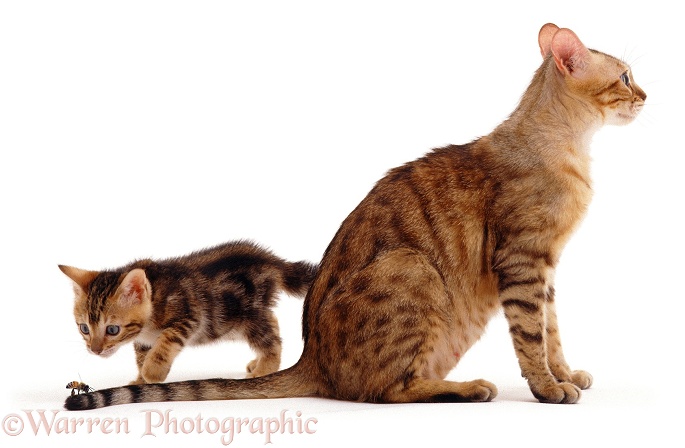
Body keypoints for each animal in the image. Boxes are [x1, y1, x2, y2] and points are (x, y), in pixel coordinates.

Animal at [58, 242, 316, 384]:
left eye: (112, 329)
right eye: (84, 328)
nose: (95, 350)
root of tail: (274, 262)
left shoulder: (191, 316)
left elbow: (166, 341)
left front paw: (152, 373)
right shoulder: (143, 341)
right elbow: (141, 357)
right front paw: (140, 380)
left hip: (246, 315)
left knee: (271, 340)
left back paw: (264, 370)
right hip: (232, 322)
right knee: (272, 320)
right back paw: (258, 362)